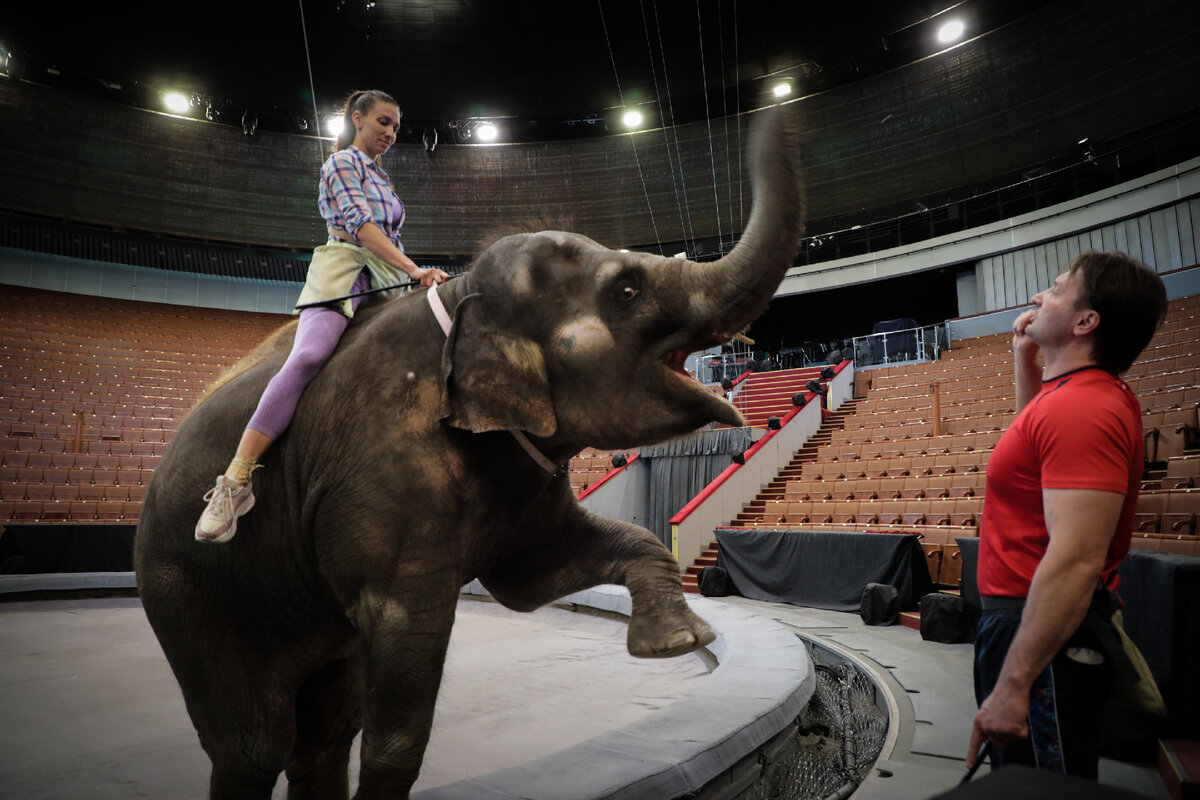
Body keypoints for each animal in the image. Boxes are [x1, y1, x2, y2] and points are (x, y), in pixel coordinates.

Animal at [133, 107, 806, 800]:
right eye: (625, 290)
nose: (780, 113)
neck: (462, 299)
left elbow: (538, 575)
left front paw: (676, 641)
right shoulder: (385, 474)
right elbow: (403, 658)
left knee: (322, 735)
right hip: (186, 586)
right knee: (252, 747)